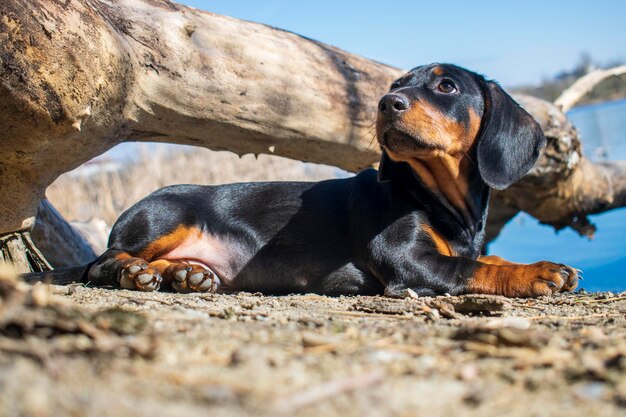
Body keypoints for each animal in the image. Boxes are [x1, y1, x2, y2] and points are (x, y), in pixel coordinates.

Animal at [39, 62, 576, 296]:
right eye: (395, 85)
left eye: (447, 86)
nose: (386, 104)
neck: (430, 194)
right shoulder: (407, 261)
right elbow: (471, 268)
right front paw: (537, 272)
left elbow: (484, 256)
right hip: (164, 216)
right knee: (101, 263)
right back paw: (137, 272)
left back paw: (185, 275)